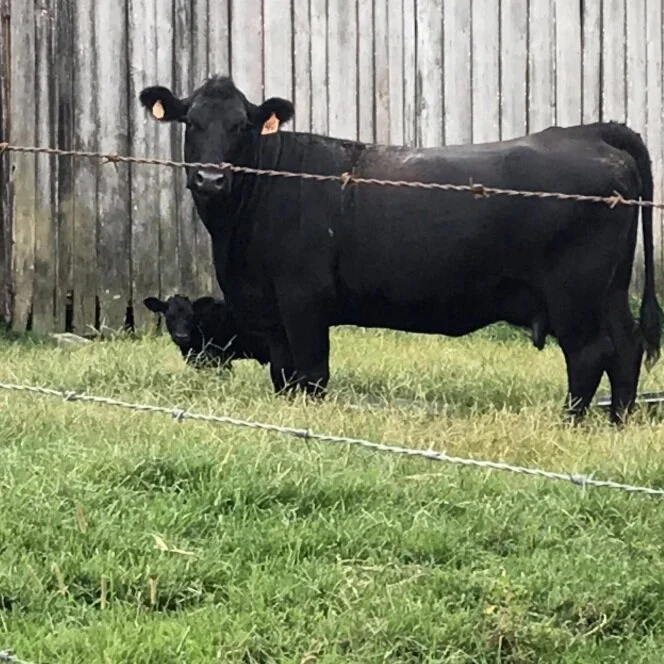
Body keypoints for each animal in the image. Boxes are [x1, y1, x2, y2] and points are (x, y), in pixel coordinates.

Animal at [139, 75, 662, 424]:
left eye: (241, 126)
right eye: (192, 122)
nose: (210, 178)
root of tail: (589, 132)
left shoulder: (304, 299)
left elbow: (311, 372)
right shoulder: (272, 311)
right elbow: (285, 375)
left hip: (574, 293)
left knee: (590, 353)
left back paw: (570, 422)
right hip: (610, 289)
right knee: (627, 346)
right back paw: (617, 421)